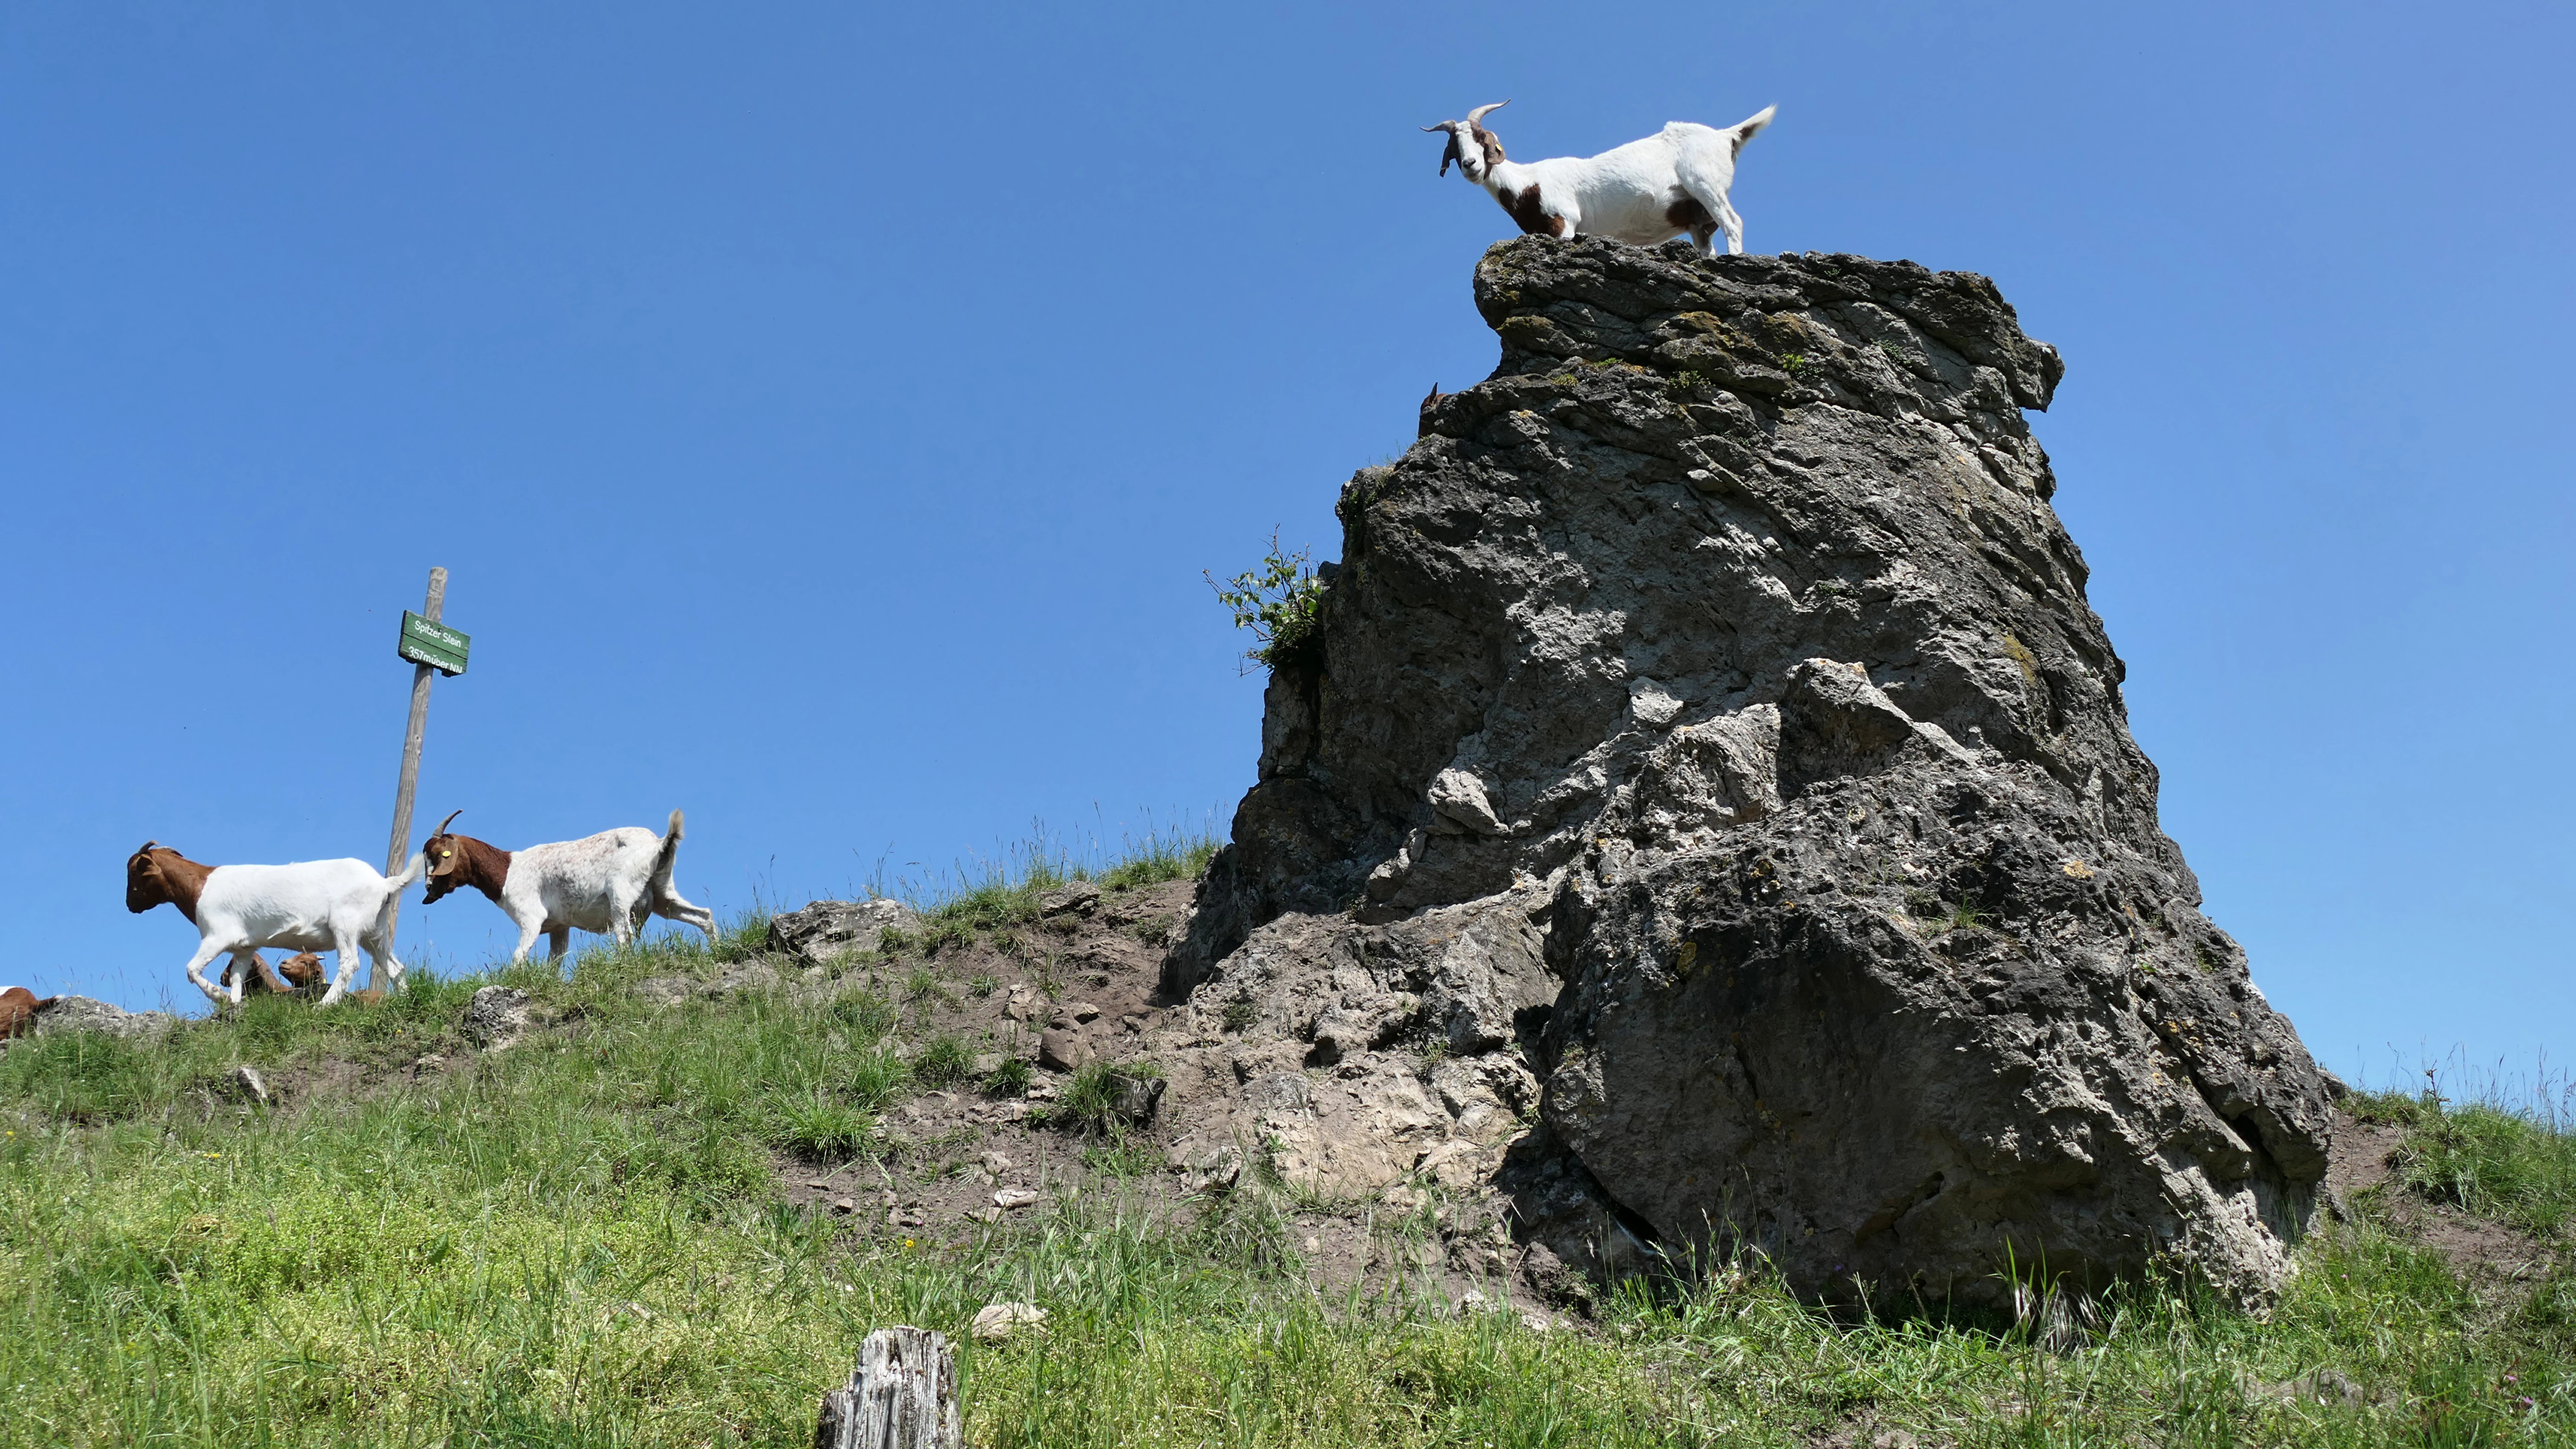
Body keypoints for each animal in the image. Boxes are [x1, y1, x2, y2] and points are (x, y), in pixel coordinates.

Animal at [126, 842, 425, 1007]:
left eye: (133, 873)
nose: (130, 905)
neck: (200, 886)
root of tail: (384, 883)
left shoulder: (216, 937)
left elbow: (191, 970)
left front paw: (218, 996)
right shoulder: (243, 948)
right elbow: (238, 978)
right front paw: (234, 1005)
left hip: (346, 925)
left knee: (350, 963)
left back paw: (324, 1005)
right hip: (374, 931)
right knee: (393, 966)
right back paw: (405, 999)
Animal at [419, 809, 717, 962]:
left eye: (439, 855)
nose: (428, 889)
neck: (508, 871)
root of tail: (657, 844)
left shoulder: (531, 919)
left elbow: (518, 957)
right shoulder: (559, 927)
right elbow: (555, 963)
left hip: (621, 897)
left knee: (625, 937)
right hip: (663, 893)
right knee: (703, 915)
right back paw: (716, 950)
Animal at [1424, 101, 1776, 256]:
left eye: (1481, 138)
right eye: (1454, 147)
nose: (1470, 165)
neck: (1528, 184)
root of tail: (1727, 136)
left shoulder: (1564, 222)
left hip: (1705, 183)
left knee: (1733, 222)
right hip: (1695, 217)